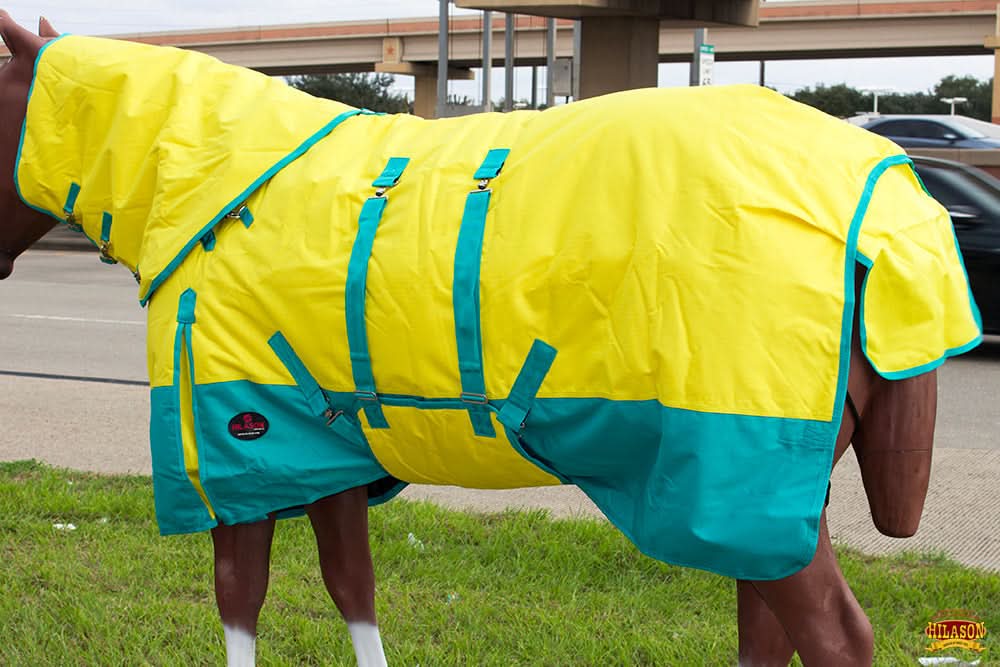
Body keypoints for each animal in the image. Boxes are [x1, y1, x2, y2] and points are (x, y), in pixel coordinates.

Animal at [0, 12, 982, 667]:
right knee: (766, 634)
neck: (216, 181)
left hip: (743, 482)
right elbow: (351, 585)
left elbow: (239, 597)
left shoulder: (239, 449)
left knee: (834, 636)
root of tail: (884, 202)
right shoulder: (324, 452)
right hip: (782, 497)